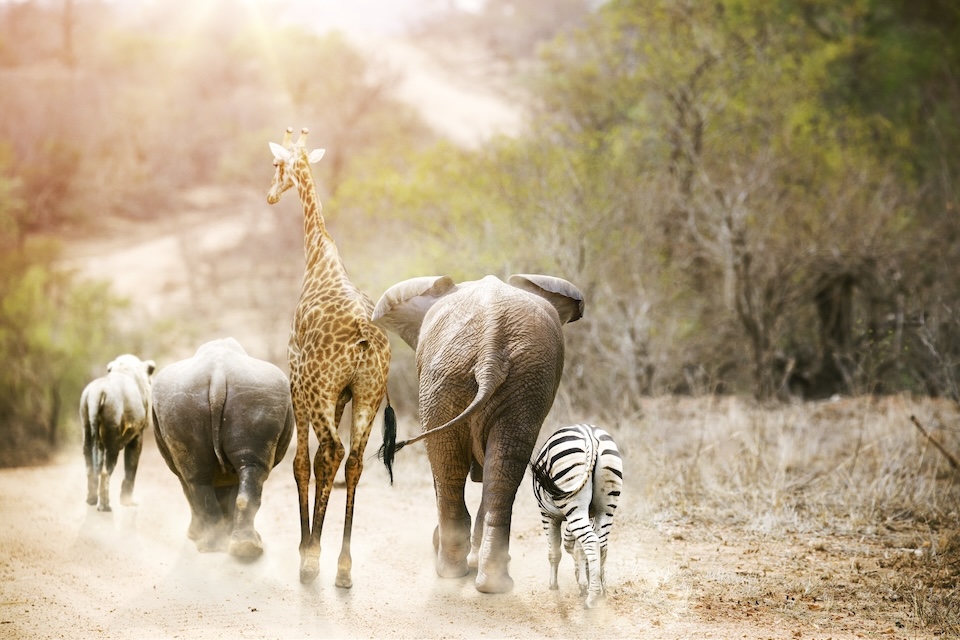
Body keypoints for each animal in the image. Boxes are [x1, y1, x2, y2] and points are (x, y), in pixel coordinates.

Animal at [79, 352, 156, 512]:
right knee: (105, 472)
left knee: (90, 468)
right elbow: (131, 469)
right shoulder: (137, 436)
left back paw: (91, 500)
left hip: (88, 431)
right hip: (112, 442)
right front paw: (127, 502)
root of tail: (97, 393)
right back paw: (105, 506)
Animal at [152, 338, 294, 556]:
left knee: (197, 479)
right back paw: (245, 549)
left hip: (190, 399)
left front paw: (196, 534)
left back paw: (214, 546)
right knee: (244, 469)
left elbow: (193, 491)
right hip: (254, 395)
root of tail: (218, 375)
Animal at [264, 127, 396, 588]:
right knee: (353, 461)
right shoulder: (341, 395)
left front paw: (306, 548)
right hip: (368, 394)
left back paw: (313, 561)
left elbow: (303, 463)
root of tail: (364, 338)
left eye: (276, 164)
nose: (270, 196)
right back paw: (343, 566)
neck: (318, 255)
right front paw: (315, 547)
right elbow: (322, 463)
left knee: (334, 453)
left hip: (322, 390)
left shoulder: (297, 379)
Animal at [372, 274, 580, 596]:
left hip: (454, 378)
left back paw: (453, 570)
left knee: (454, 466)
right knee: (499, 466)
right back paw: (489, 582)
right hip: (495, 379)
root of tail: (491, 345)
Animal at [528, 422, 628, 608]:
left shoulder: (547, 515)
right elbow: (575, 547)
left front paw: (556, 585)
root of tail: (589, 433)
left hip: (573, 501)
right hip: (606, 505)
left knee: (591, 541)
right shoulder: (588, 514)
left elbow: (555, 551)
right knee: (601, 544)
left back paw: (592, 598)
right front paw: (584, 579)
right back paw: (601, 589)